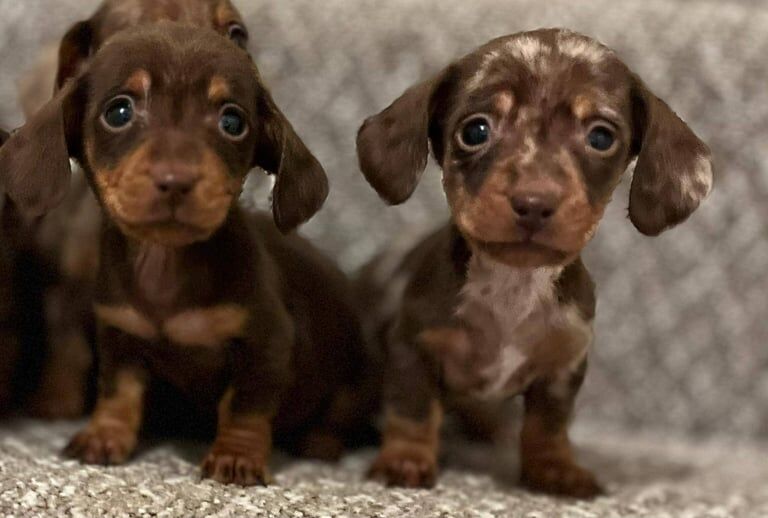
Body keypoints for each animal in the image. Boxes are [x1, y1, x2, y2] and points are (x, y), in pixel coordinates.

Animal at [0, 23, 372, 488]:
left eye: (232, 121)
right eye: (118, 112)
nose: (175, 180)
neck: (165, 264)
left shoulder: (267, 343)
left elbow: (245, 407)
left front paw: (236, 456)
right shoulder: (119, 335)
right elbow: (117, 392)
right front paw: (105, 435)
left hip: (351, 388)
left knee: (337, 418)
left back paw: (319, 441)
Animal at [356, 29, 716, 500]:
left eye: (601, 137)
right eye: (475, 130)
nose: (533, 202)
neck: (512, 287)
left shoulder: (563, 367)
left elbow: (548, 425)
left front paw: (554, 467)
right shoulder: (412, 348)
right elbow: (412, 410)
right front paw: (405, 458)